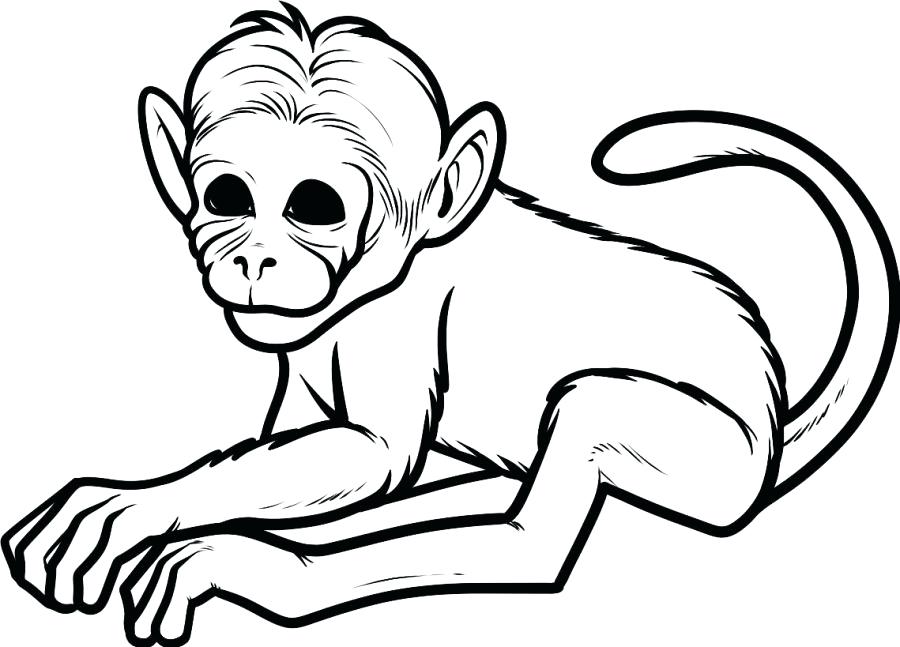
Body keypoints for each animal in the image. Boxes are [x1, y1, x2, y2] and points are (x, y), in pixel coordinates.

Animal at [2, 4, 897, 646]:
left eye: (314, 206)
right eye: (227, 197)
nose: (255, 259)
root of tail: (773, 420)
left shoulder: (394, 322)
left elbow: (375, 453)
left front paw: (162, 515)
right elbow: (297, 450)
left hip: (713, 457)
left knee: (537, 521)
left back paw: (276, 571)